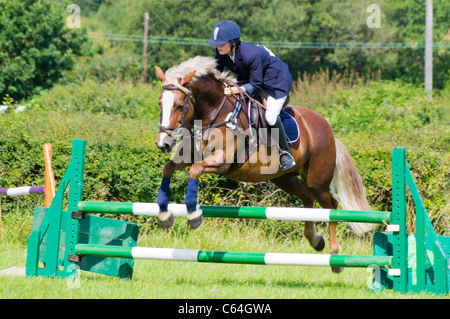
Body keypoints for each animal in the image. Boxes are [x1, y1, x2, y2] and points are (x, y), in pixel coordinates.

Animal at [153, 57, 370, 272]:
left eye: (179, 106)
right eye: (160, 104)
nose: (163, 144)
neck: (215, 112)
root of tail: (328, 128)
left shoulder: (222, 161)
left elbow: (195, 170)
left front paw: (193, 216)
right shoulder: (190, 156)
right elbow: (168, 169)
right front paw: (164, 216)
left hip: (317, 180)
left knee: (331, 206)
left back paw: (335, 256)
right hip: (285, 178)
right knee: (307, 199)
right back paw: (316, 240)